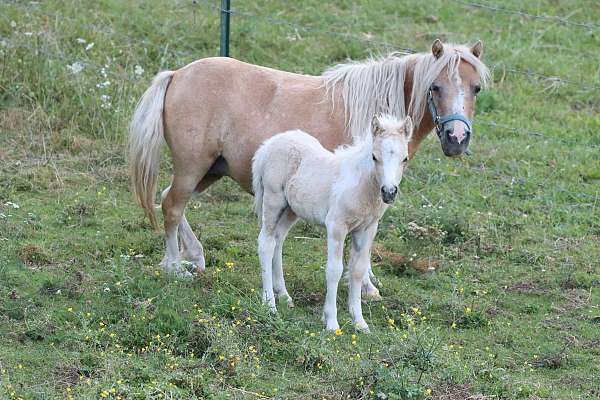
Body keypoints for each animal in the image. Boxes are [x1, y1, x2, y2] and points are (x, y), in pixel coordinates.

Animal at [252, 115, 412, 332]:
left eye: (405, 158)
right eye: (374, 157)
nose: (389, 192)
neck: (362, 187)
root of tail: (268, 145)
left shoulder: (367, 228)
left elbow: (357, 271)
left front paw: (360, 323)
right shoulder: (337, 226)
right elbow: (334, 270)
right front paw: (331, 322)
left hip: (291, 210)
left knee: (278, 240)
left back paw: (284, 296)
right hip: (273, 200)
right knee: (266, 243)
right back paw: (269, 304)